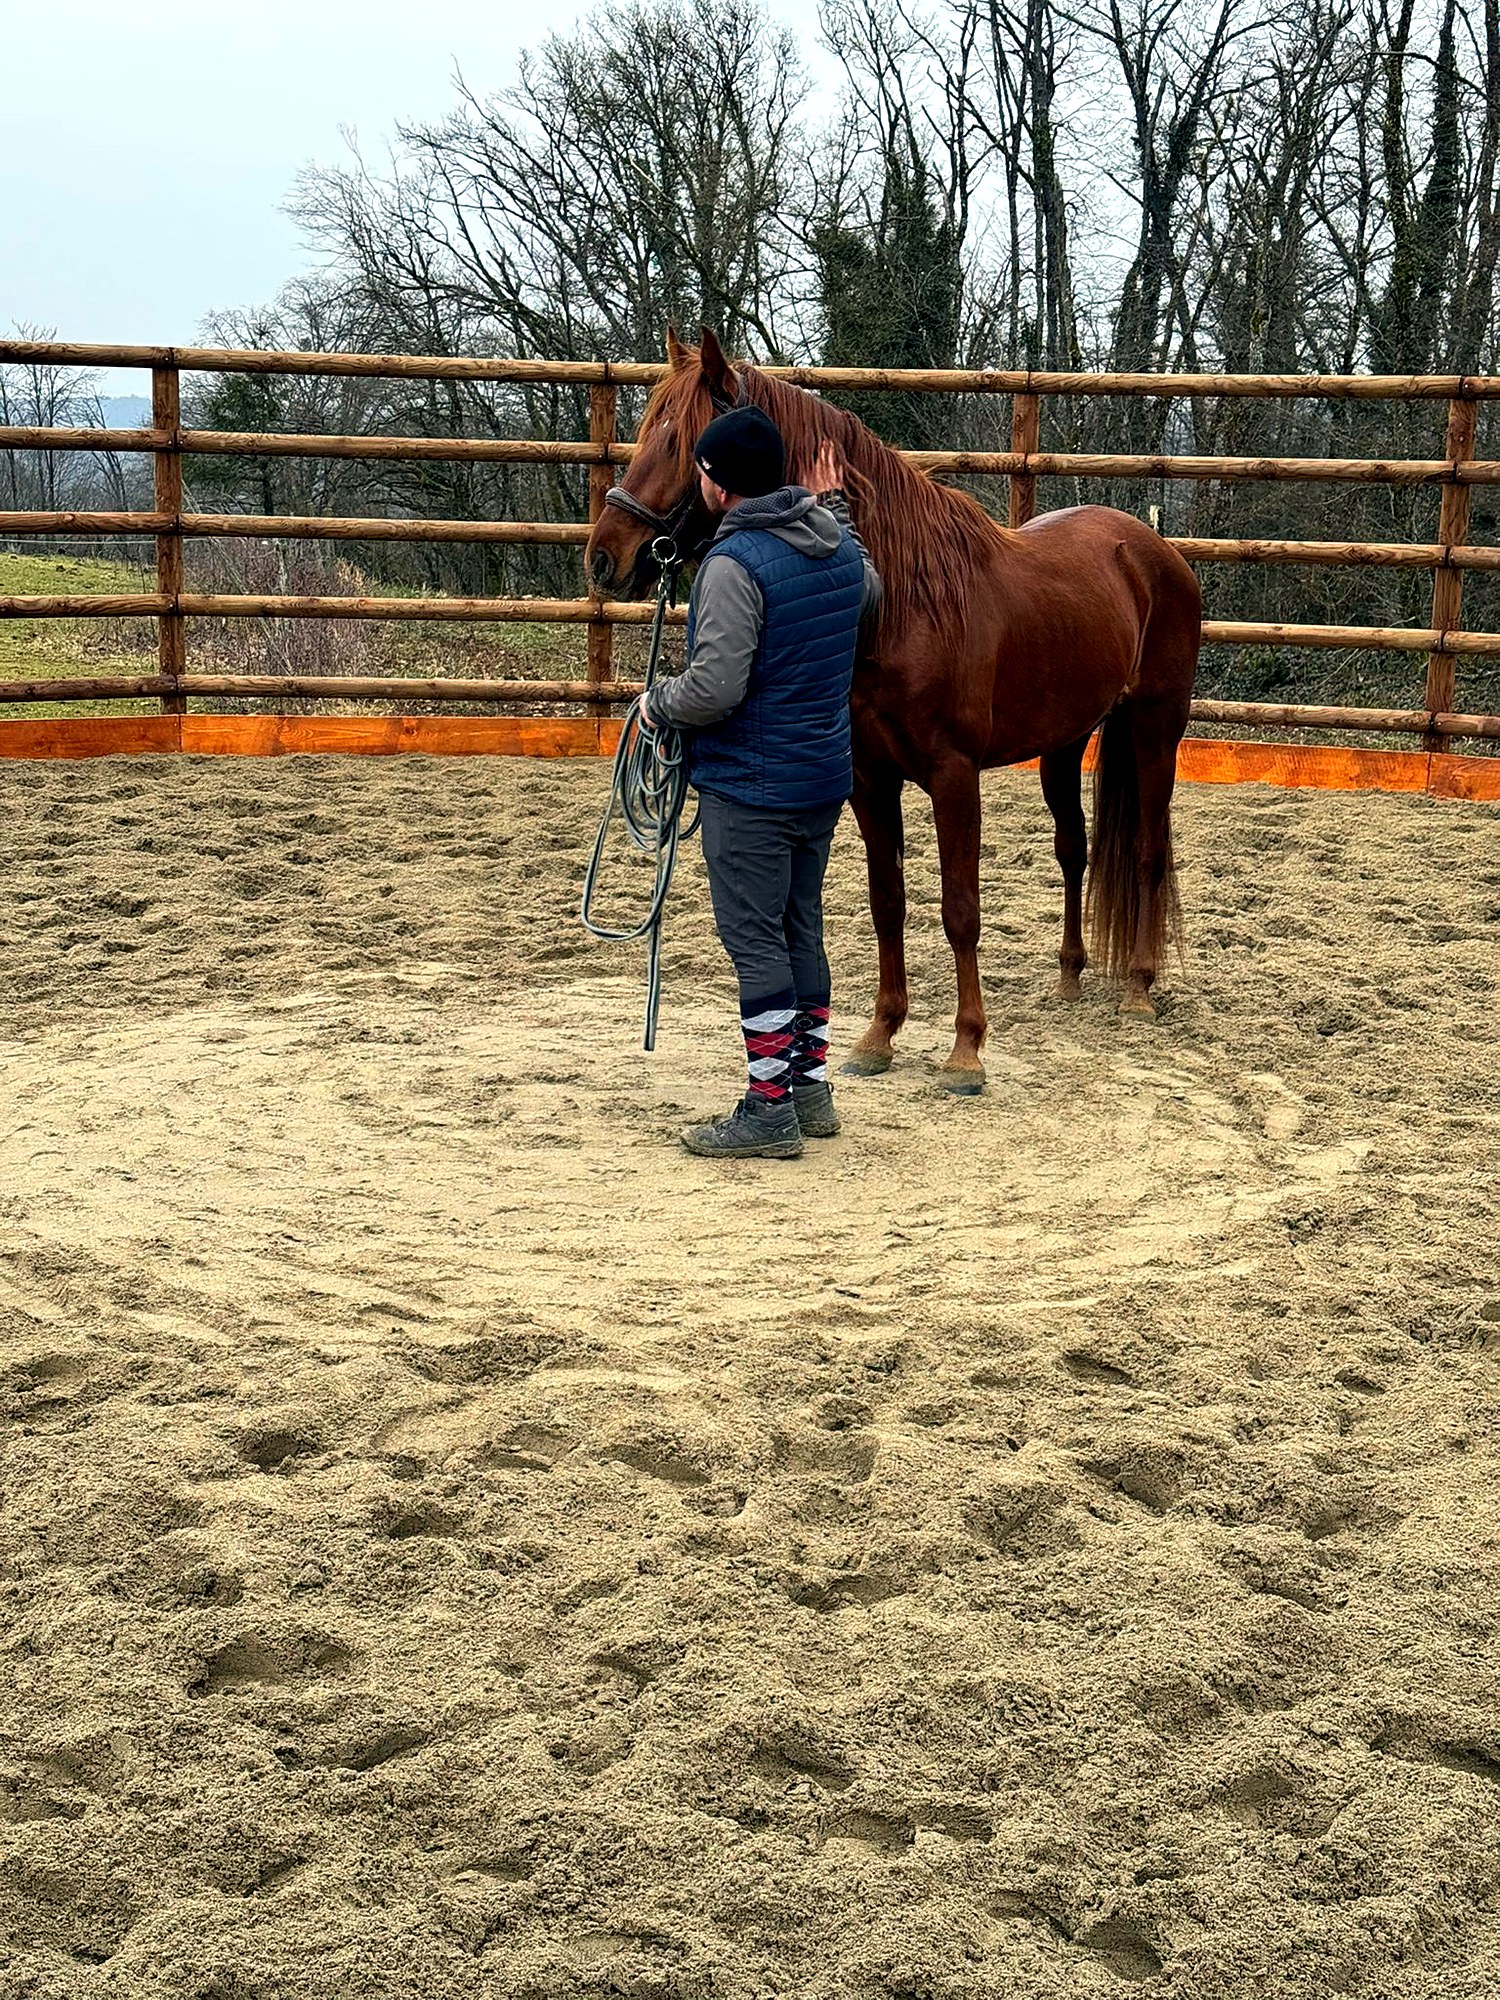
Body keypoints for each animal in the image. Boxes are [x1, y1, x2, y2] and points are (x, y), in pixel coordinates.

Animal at [584, 328, 1201, 1093]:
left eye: (679, 442)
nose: (603, 558)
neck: (905, 600)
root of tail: (1150, 550)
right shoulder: (870, 780)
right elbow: (887, 904)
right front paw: (879, 1035)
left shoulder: (953, 777)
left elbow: (960, 911)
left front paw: (966, 1050)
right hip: (1065, 739)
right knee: (1073, 849)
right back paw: (1069, 979)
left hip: (1154, 727)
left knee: (1147, 850)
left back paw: (1139, 987)